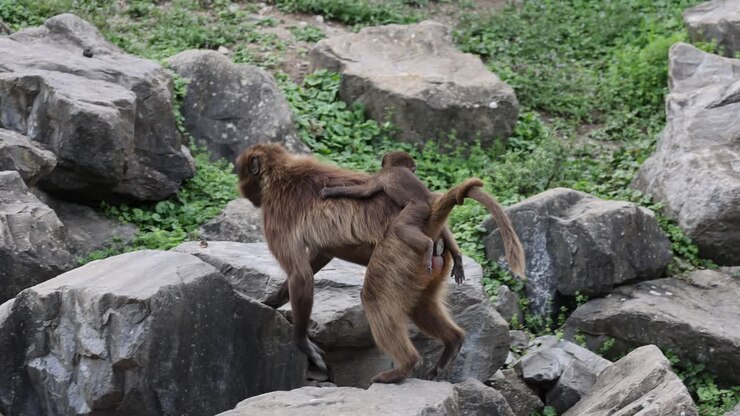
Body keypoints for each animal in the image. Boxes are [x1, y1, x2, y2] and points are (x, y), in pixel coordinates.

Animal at [319, 151, 458, 279]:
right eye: (413, 169)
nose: (415, 172)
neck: (396, 167)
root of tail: (428, 198)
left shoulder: (380, 174)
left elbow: (365, 191)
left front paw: (330, 191)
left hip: (418, 207)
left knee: (400, 226)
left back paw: (427, 246)